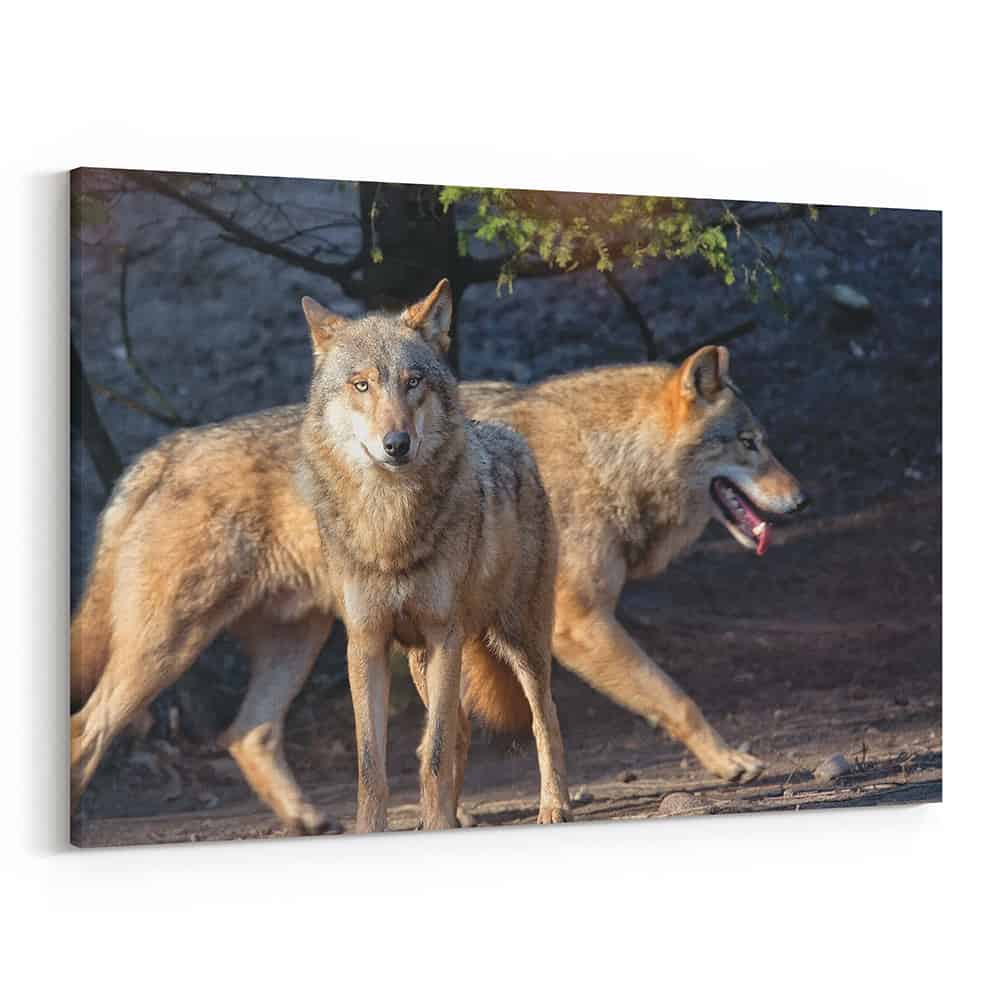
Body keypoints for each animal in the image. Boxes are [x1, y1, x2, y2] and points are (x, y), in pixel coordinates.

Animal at [296, 279, 570, 832]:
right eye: (361, 385)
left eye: (413, 381)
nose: (396, 443)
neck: (389, 525)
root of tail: (507, 433)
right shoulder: (366, 644)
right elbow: (372, 763)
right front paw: (376, 829)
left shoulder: (444, 636)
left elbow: (436, 752)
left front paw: (438, 821)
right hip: (425, 662)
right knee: (460, 728)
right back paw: (453, 815)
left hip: (518, 641)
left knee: (542, 717)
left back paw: (553, 805)